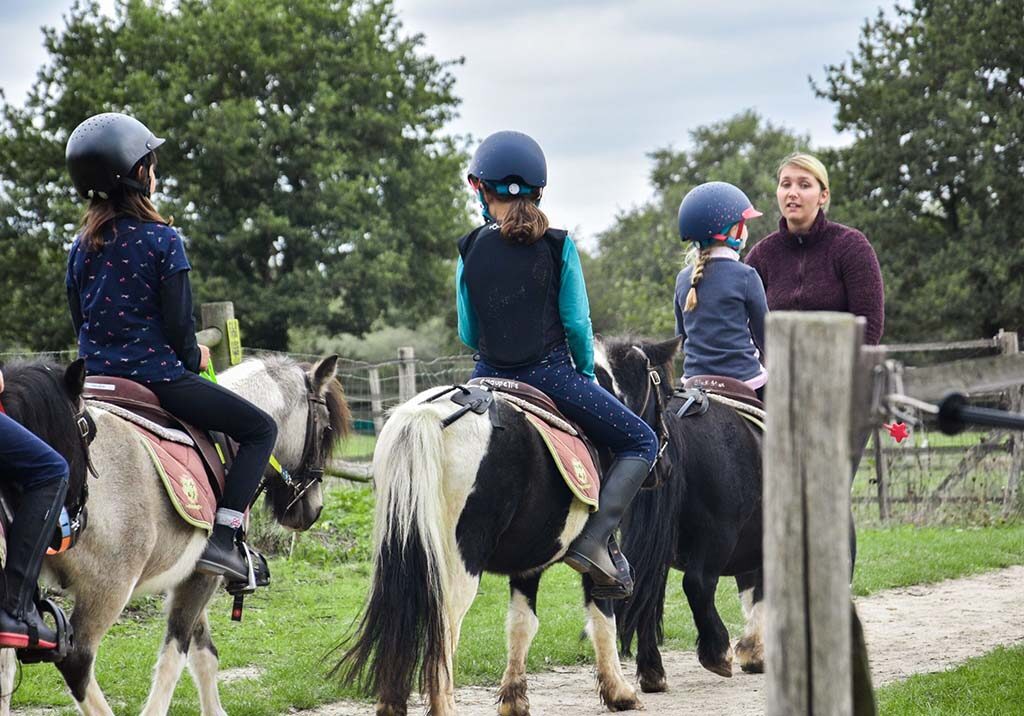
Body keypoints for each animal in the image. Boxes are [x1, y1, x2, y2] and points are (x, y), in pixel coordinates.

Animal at [0, 356, 350, 716]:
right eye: (325, 431)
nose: (313, 510)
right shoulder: (204, 576)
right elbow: (175, 655)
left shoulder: (191, 574)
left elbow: (204, 654)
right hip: (109, 588)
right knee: (76, 661)